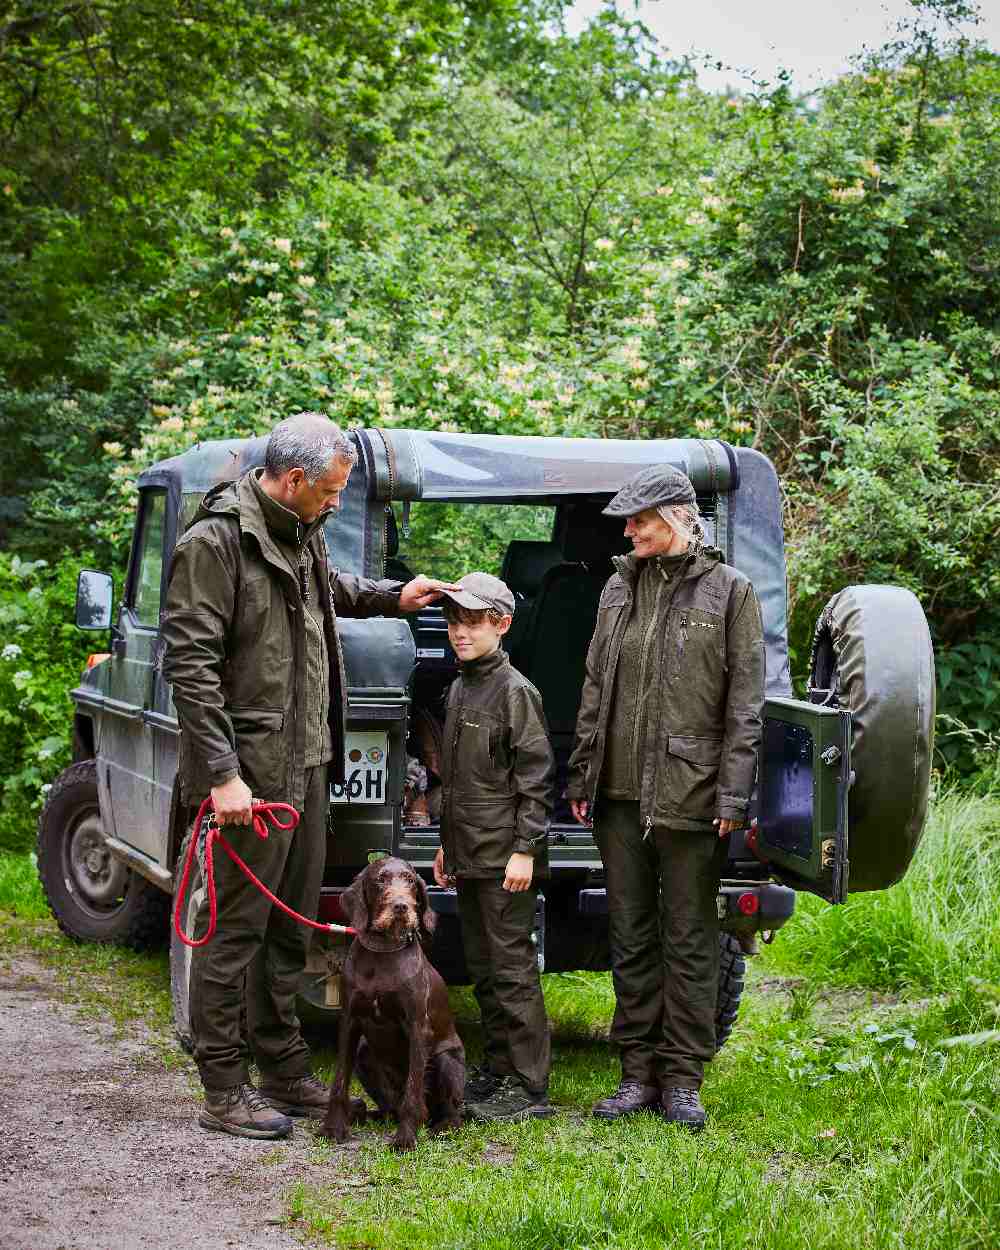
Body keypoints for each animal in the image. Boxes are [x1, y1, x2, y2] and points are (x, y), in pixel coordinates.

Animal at [322, 860, 467, 1150]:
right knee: (391, 1106)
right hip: (364, 1053)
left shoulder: (417, 1029)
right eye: (380, 880)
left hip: (447, 1061)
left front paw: (405, 1138)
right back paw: (372, 1115)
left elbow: (413, 1091)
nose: (401, 906)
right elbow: (339, 1082)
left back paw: (442, 1126)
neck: (383, 950)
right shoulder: (349, 1023)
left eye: (410, 880)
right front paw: (333, 1127)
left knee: (448, 1111)